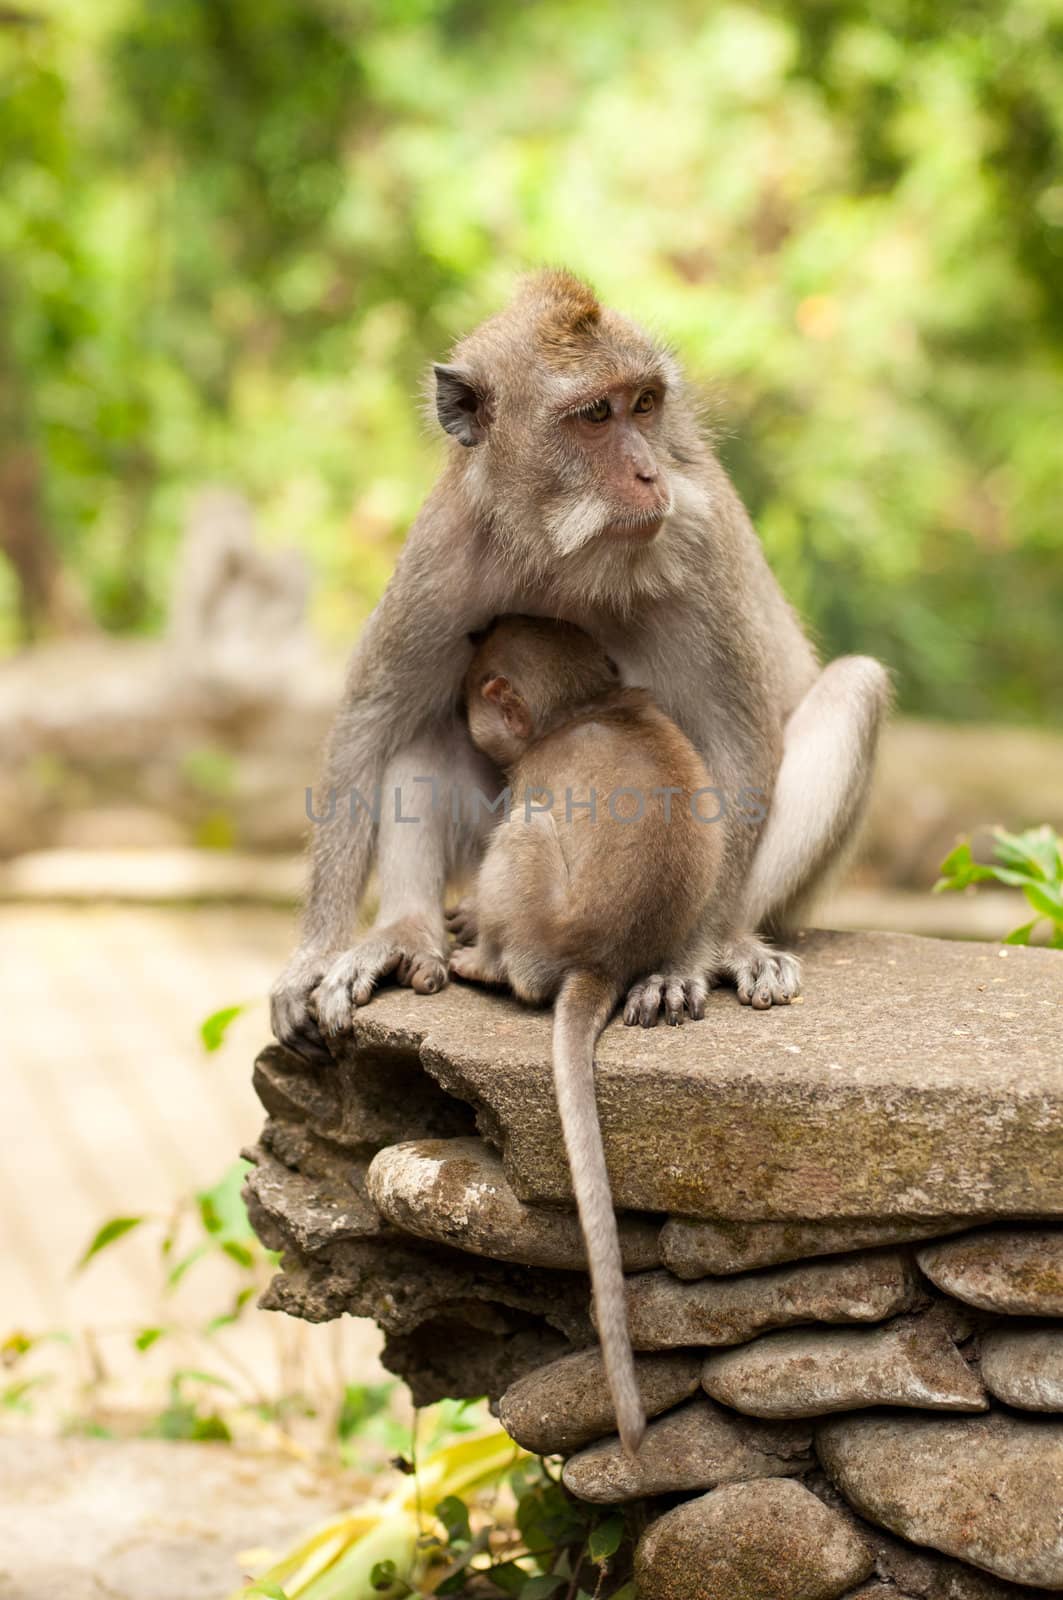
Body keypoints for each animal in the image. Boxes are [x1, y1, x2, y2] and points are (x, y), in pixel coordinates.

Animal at [273, 270, 890, 1056]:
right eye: (596, 414)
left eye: (645, 404)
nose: (649, 472)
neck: (561, 546)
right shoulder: (442, 552)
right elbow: (370, 720)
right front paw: (313, 955)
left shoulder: (699, 545)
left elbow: (739, 741)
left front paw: (686, 959)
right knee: (429, 724)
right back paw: (410, 931)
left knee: (853, 689)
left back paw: (727, 942)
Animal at [451, 614, 726, 1465]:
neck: (584, 706)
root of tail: (601, 961)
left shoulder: (530, 770)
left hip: (537, 914)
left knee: (523, 839)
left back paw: (484, 962)